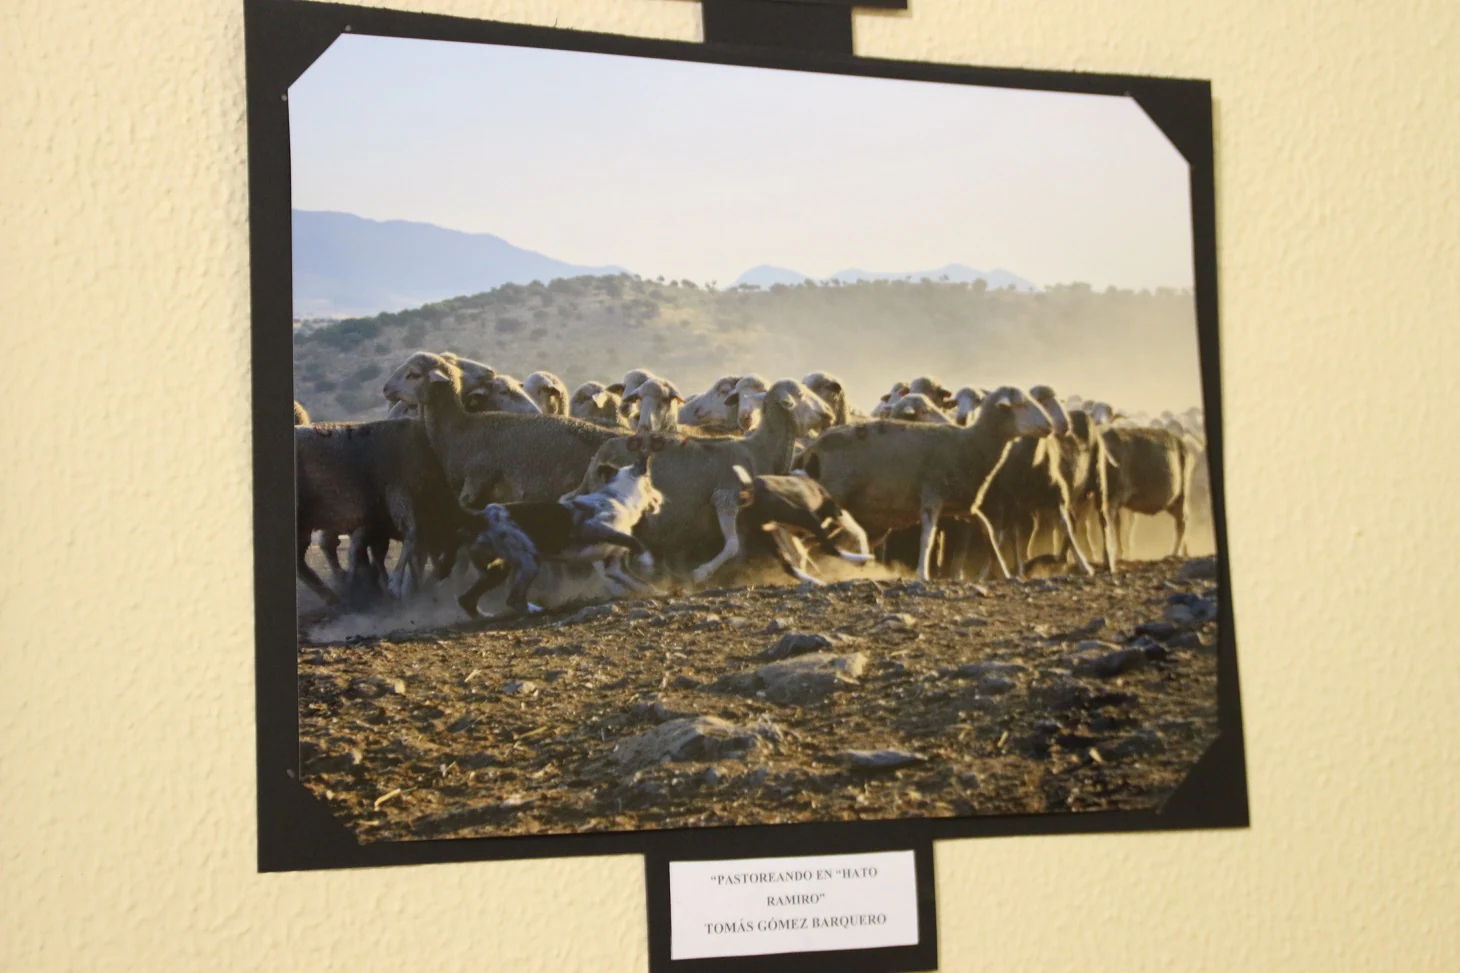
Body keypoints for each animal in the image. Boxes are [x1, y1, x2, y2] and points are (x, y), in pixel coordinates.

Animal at [572, 374, 840, 578]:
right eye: (801, 395)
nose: (829, 414)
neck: (759, 449)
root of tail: (598, 455)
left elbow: (787, 541)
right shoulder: (726, 497)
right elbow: (732, 545)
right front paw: (701, 573)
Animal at [794, 385, 1057, 584]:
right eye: (1020, 405)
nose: (1050, 426)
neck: (971, 445)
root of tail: (812, 448)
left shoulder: (963, 506)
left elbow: (989, 532)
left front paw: (1004, 570)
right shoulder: (932, 497)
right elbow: (928, 538)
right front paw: (923, 573)